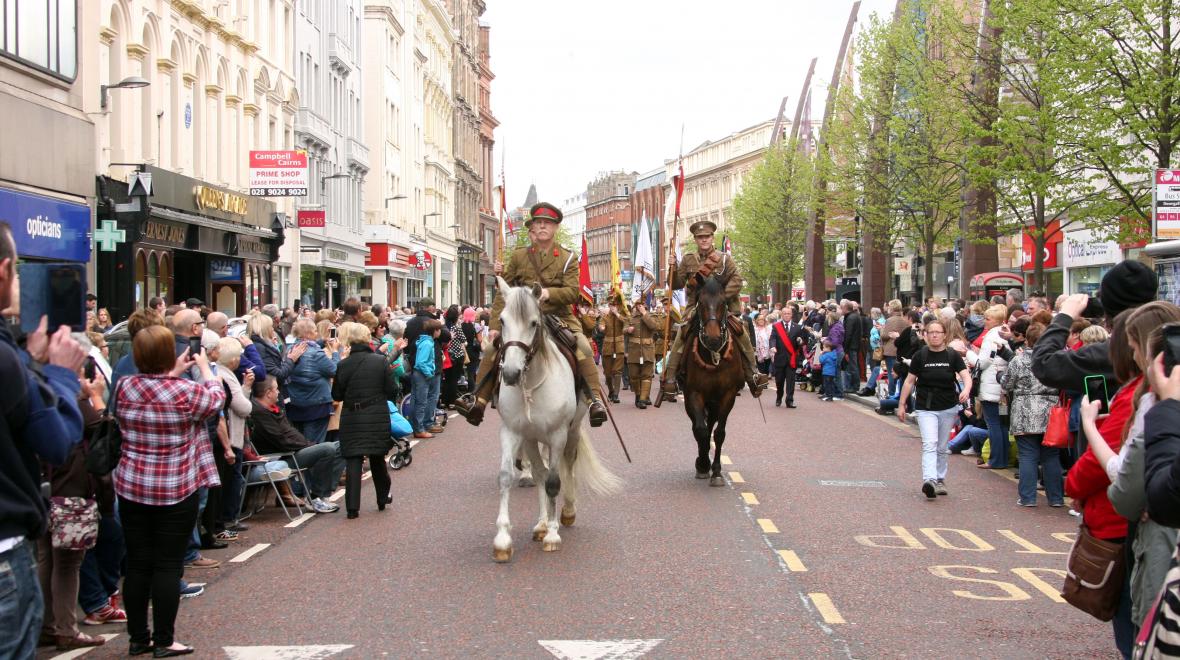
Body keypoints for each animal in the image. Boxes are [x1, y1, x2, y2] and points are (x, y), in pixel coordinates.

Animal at [490, 275, 623, 562]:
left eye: (533, 323)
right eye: (502, 320)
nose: (511, 374)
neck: (531, 383)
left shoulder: (557, 434)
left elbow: (554, 481)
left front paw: (553, 534)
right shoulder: (512, 432)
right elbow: (507, 476)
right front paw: (503, 540)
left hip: (572, 430)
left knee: (567, 464)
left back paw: (566, 513)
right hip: (531, 438)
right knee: (539, 472)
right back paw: (541, 523)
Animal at [679, 273, 741, 486]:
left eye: (723, 302)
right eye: (701, 302)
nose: (713, 339)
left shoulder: (728, 396)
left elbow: (719, 433)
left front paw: (717, 472)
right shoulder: (694, 394)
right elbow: (701, 430)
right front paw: (703, 464)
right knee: (697, 427)